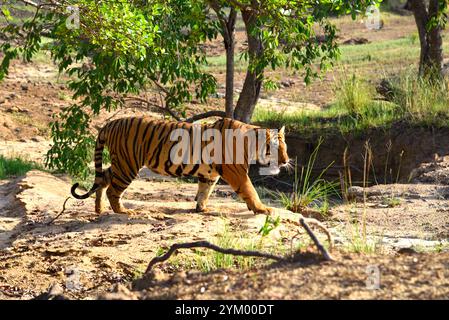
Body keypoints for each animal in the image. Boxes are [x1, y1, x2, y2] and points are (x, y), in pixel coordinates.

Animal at [69, 117, 288, 215]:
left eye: (285, 147)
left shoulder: (210, 173)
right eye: (276, 148)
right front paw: (262, 209)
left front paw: (202, 208)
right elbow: (250, 190)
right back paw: (122, 211)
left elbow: (205, 191)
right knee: (113, 190)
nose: (286, 161)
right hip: (128, 165)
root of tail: (111, 123)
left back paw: (99, 209)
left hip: (120, 163)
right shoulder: (237, 173)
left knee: (103, 178)